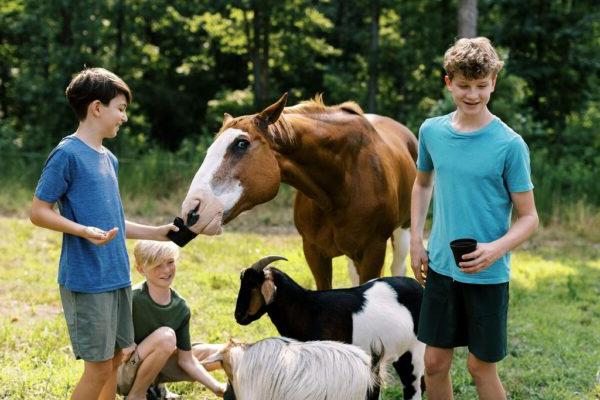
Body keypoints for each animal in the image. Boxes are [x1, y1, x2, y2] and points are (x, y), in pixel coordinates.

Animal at [182, 93, 418, 290]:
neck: (342, 183)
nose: (192, 210)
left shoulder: (373, 252)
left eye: (241, 143)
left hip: (403, 230)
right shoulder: (314, 252)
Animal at [232, 256, 424, 400]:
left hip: (415, 351)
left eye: (253, 285)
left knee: (414, 387)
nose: (238, 316)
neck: (307, 309)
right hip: (400, 354)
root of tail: (419, 287)